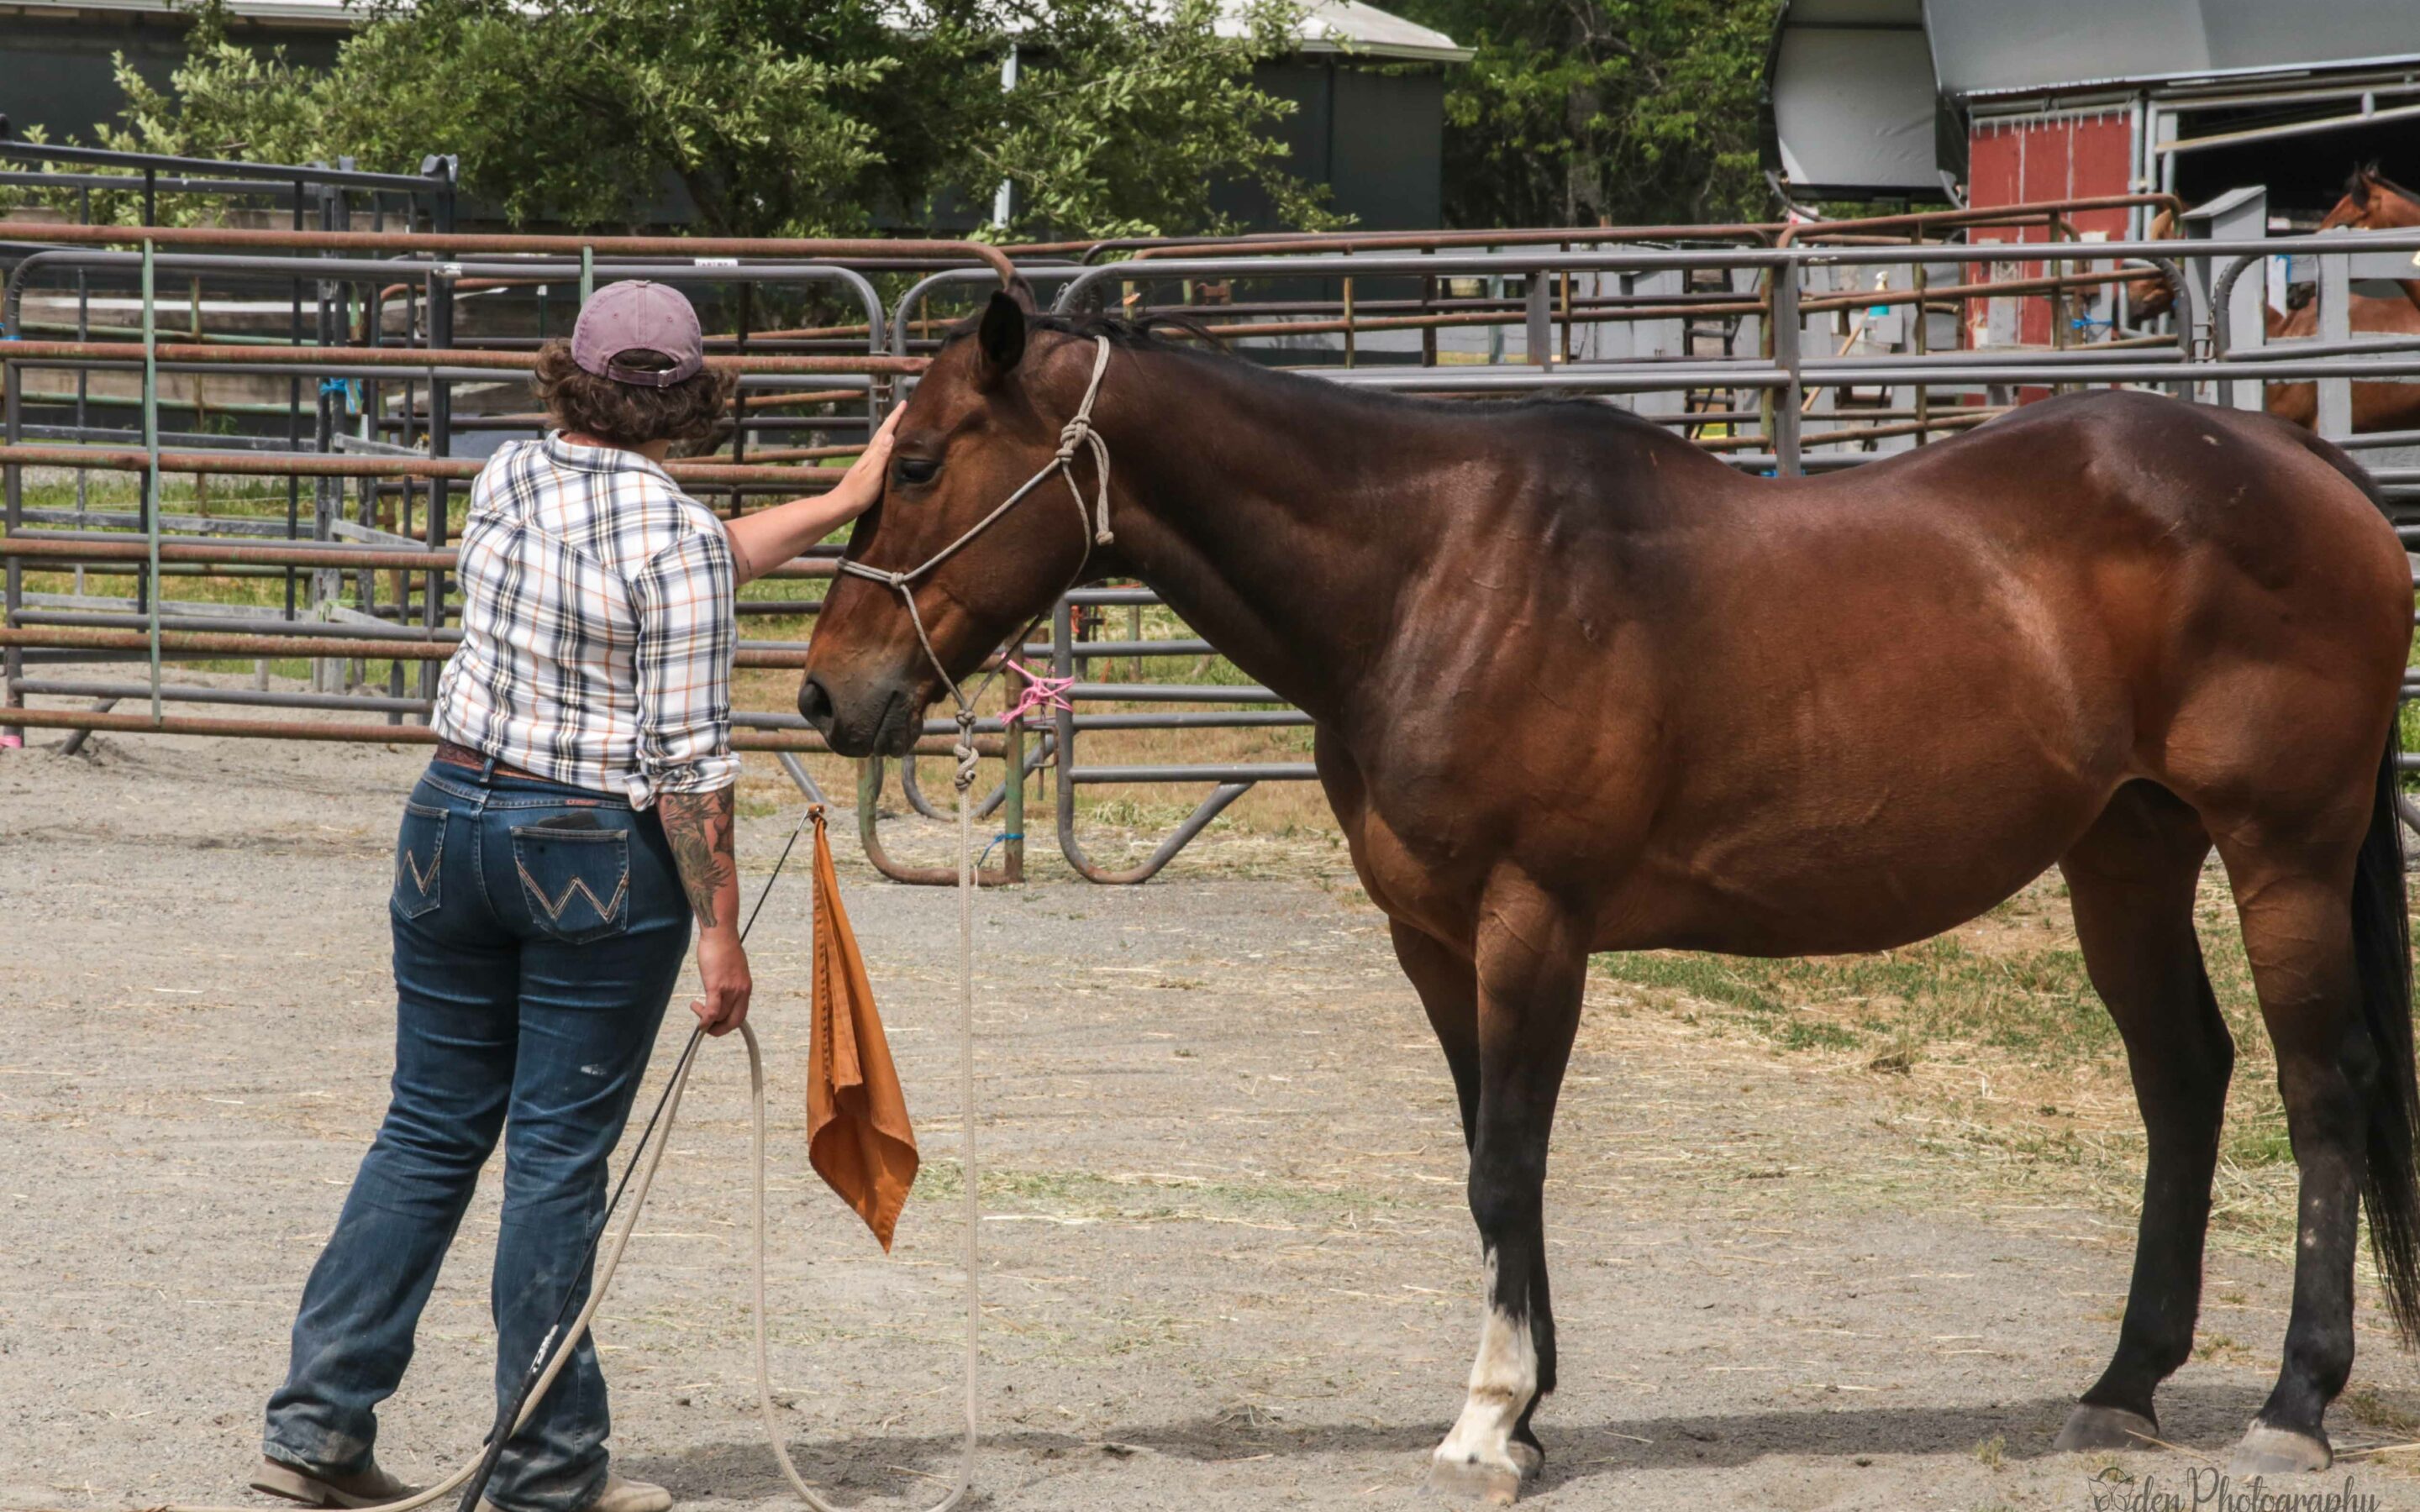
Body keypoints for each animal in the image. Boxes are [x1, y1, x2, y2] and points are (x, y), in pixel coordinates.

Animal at [798, 295, 2420, 1499]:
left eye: (925, 462)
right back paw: (2122, 1387)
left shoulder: (1535, 921)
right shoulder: (1434, 942)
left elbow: (1505, 1164)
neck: (1434, 575)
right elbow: (1488, 1163)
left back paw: (2292, 1406)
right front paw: (1524, 1406)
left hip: (2282, 850)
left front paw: (1489, 1422)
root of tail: (2301, 468)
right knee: (2185, 1080)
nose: (825, 694)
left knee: (2322, 1089)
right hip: (2125, 855)